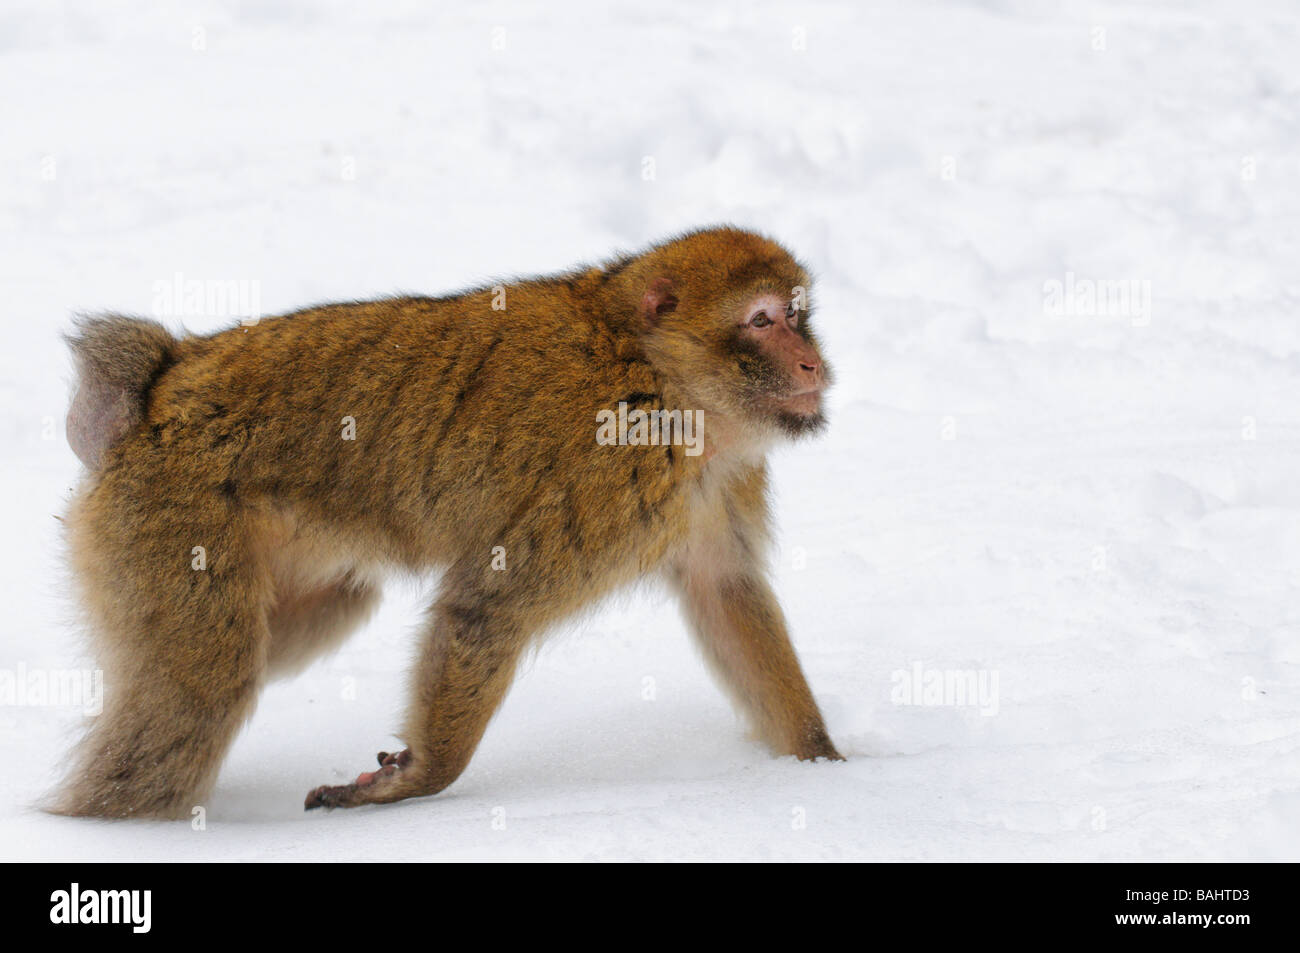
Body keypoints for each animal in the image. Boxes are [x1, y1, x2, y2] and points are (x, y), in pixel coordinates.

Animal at [51, 226, 841, 819]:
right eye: (762, 321)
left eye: (797, 314)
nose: (812, 363)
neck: (669, 382)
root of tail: (159, 386)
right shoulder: (613, 476)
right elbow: (487, 609)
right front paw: (423, 777)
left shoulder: (719, 483)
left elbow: (727, 593)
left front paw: (827, 766)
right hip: (169, 512)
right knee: (201, 690)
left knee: (311, 615)